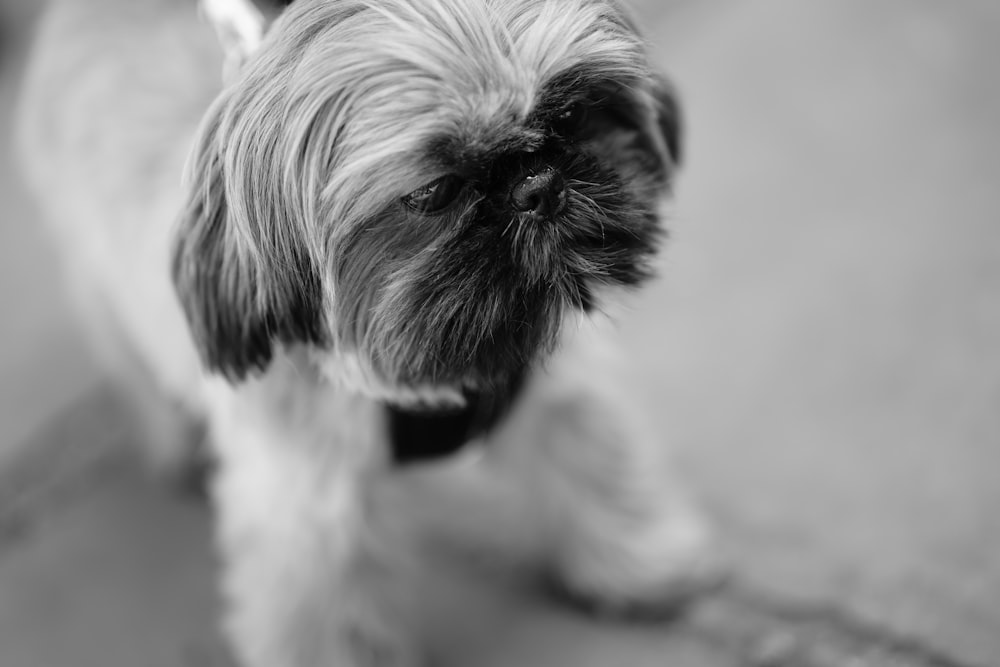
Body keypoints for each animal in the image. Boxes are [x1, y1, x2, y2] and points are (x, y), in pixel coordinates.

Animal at [15, 0, 712, 664]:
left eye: (570, 114)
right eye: (434, 192)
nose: (538, 186)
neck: (414, 370)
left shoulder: (553, 385)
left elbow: (595, 466)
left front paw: (640, 561)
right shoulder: (309, 520)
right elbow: (329, 626)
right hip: (101, 289)